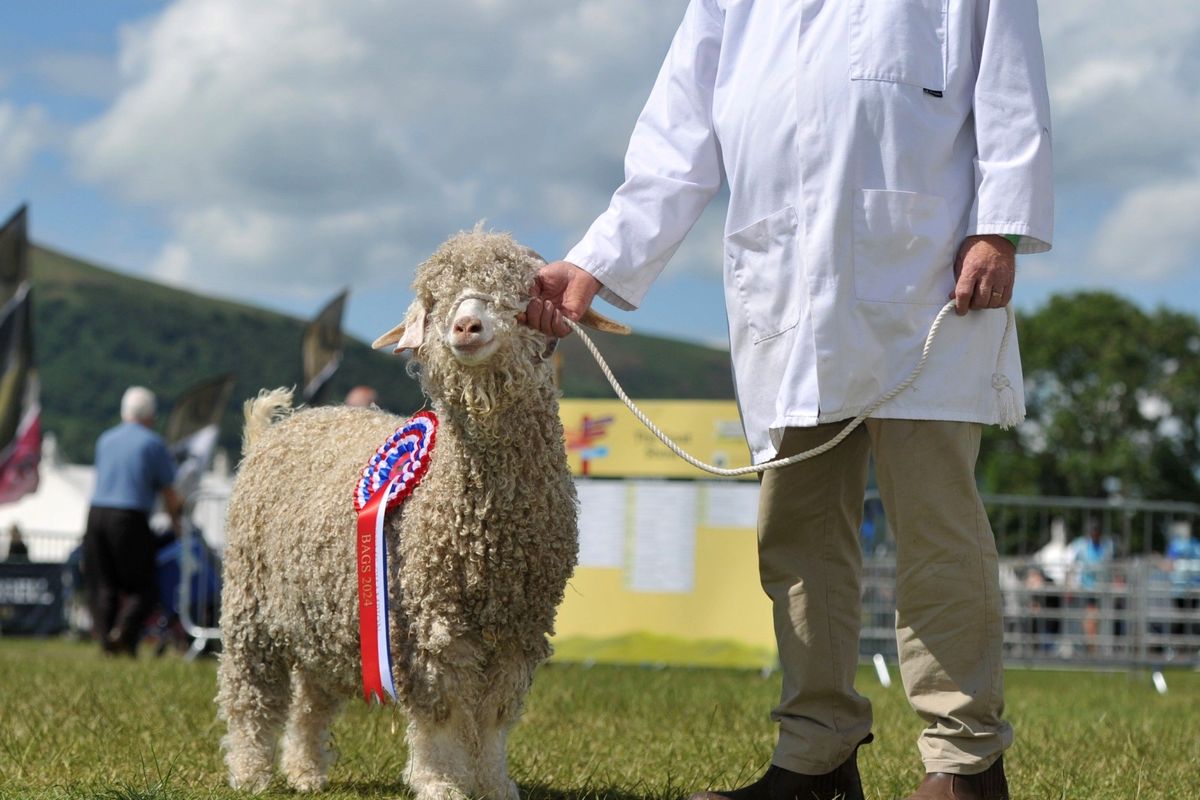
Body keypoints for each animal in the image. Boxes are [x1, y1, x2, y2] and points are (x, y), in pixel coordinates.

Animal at [216, 229, 624, 799]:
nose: (466, 325)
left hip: (319, 607)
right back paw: (251, 773)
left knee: (312, 697)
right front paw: (441, 783)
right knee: (250, 694)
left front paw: (494, 783)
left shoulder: (520, 624)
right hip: (249, 602)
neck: (484, 525)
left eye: (520, 292)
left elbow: (494, 716)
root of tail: (271, 432)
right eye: (434, 299)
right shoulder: (427, 621)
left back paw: (306, 772)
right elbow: (442, 713)